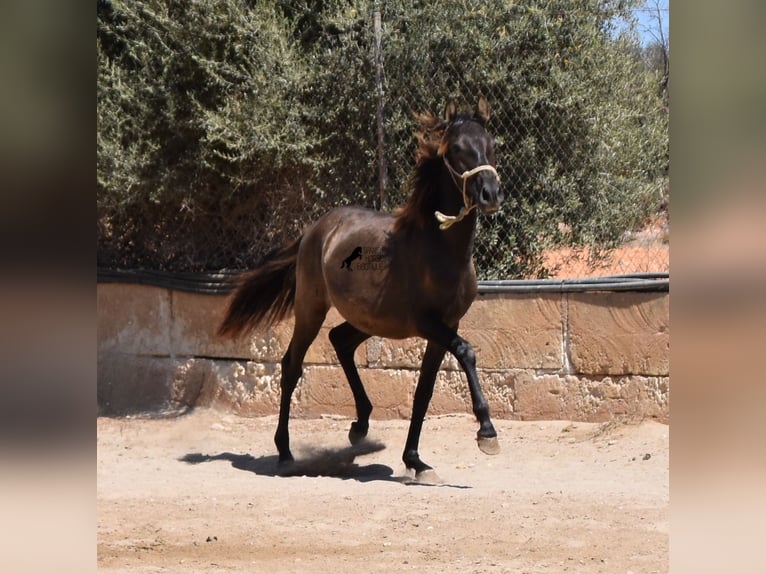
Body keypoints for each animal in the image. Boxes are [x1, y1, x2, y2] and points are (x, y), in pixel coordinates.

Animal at [218, 99, 504, 482]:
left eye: (490, 144)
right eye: (457, 149)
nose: (490, 194)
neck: (437, 249)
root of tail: (315, 229)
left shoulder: (447, 324)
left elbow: (424, 391)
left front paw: (416, 461)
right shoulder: (429, 324)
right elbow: (466, 352)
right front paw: (487, 432)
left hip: (370, 319)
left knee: (340, 340)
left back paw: (360, 425)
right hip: (311, 308)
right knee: (292, 365)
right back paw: (285, 452)